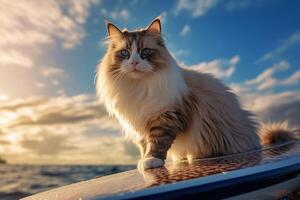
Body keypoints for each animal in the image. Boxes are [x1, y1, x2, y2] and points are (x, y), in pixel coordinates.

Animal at [95, 16, 296, 170]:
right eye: (125, 53)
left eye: (145, 52)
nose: (134, 63)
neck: (139, 86)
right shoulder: (140, 123)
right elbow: (145, 145)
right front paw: (144, 160)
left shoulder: (166, 117)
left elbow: (158, 142)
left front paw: (151, 161)